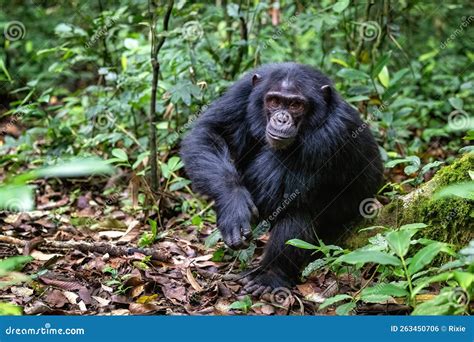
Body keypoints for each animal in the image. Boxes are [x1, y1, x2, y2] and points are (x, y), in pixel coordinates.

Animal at [180, 62, 384, 294]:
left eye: (296, 105)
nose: (281, 118)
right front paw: (233, 206)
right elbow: (210, 132)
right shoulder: (241, 92)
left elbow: (280, 194)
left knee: (297, 215)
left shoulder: (333, 134)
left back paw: (269, 276)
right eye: (274, 101)